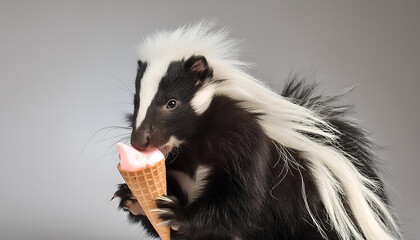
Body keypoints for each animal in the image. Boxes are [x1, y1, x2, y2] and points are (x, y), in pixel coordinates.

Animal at [113, 21, 402, 239]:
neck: (194, 147)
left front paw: (177, 213)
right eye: (136, 102)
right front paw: (135, 199)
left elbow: (242, 203)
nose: (139, 141)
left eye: (172, 103)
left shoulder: (246, 144)